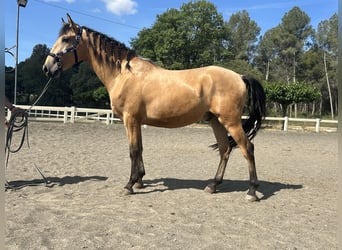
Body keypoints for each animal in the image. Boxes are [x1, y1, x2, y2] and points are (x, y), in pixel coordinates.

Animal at [42, 14, 266, 201]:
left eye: (66, 39)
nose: (46, 68)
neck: (125, 74)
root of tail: (240, 76)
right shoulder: (136, 121)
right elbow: (140, 149)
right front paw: (139, 181)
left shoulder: (130, 119)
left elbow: (133, 150)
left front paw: (129, 185)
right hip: (216, 121)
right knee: (225, 149)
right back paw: (213, 185)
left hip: (231, 121)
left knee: (247, 148)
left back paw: (252, 191)